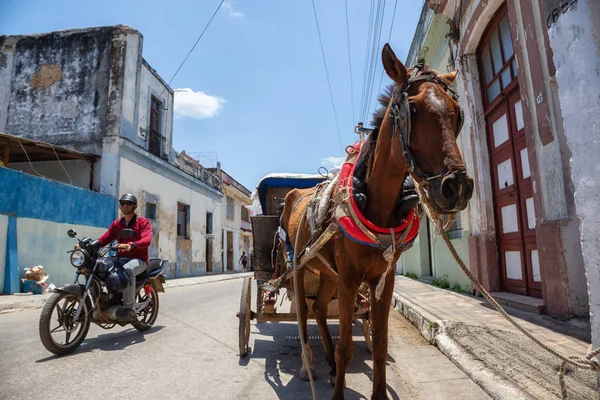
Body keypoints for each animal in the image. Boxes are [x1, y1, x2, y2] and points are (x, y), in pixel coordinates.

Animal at [280, 42, 474, 398]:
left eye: (457, 112)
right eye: (412, 109)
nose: (456, 187)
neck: (376, 207)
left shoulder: (383, 279)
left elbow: (381, 345)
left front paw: (377, 390)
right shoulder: (349, 278)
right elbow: (346, 348)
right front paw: (338, 390)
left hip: (327, 274)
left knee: (319, 310)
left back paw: (326, 361)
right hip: (300, 269)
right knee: (303, 316)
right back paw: (308, 365)